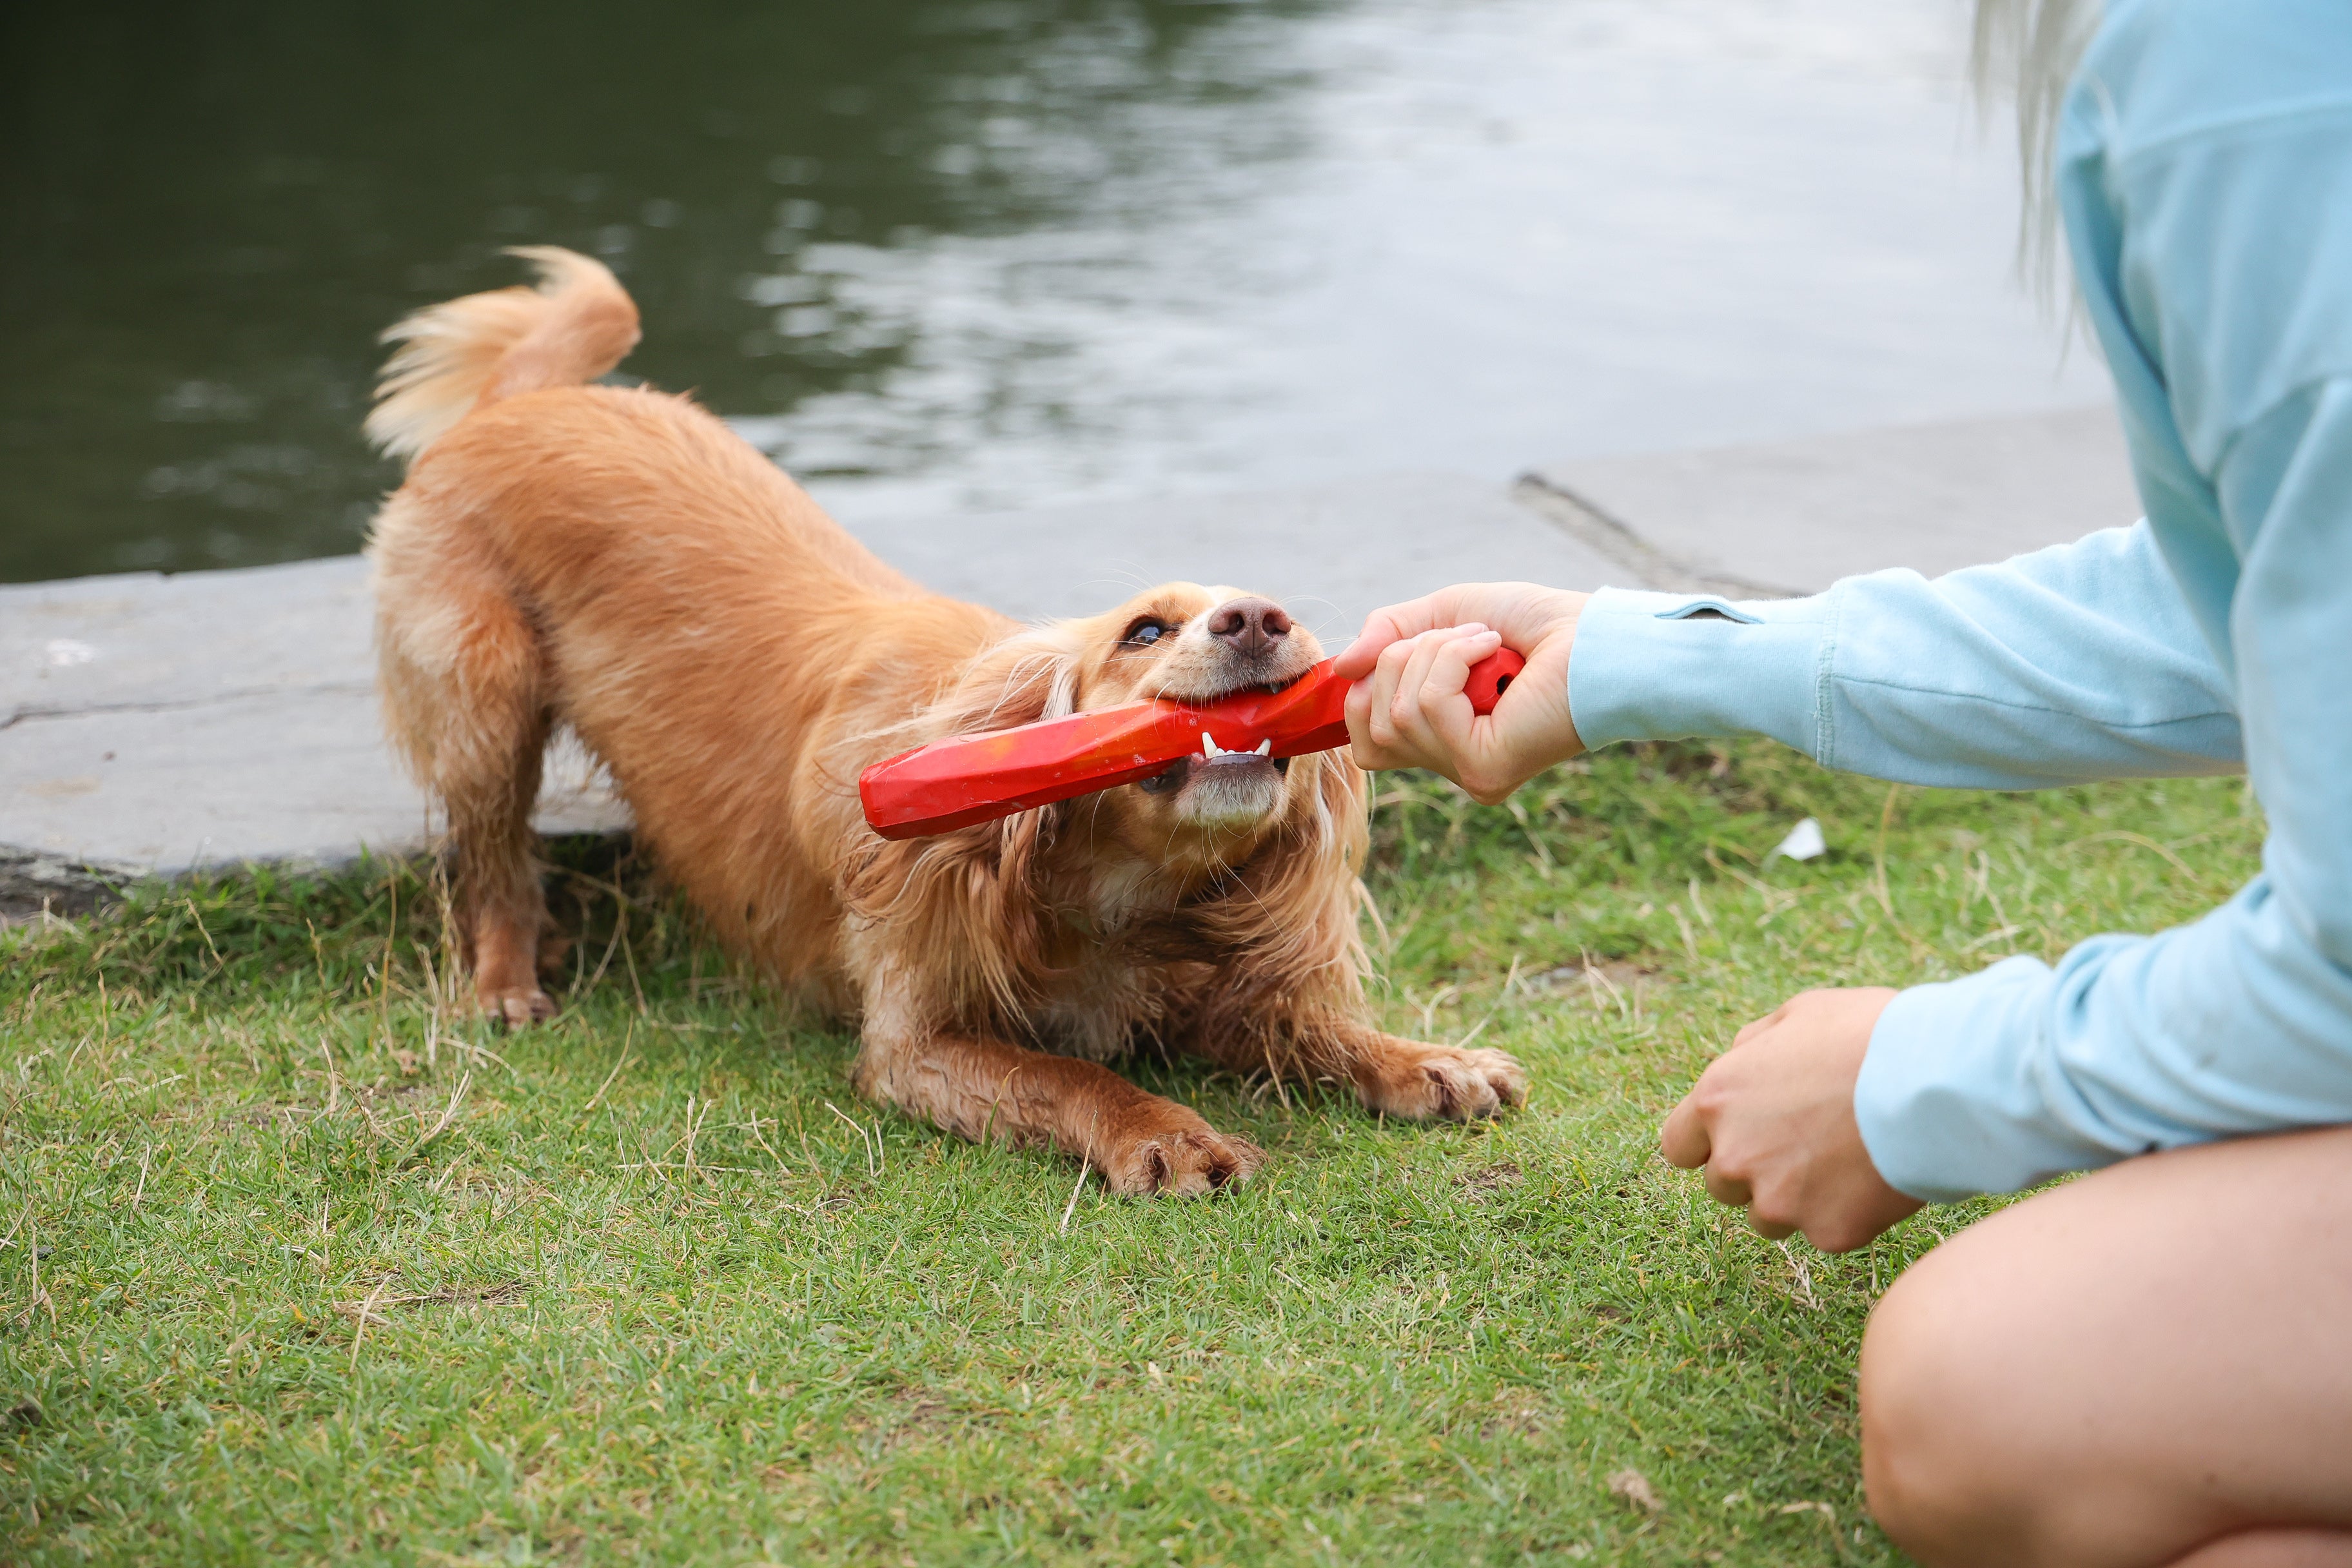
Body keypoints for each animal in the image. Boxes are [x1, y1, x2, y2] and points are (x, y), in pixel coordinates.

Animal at [357, 251, 1514, 1194]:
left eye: (1300, 636)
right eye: (1143, 630)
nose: (1258, 621)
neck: (1104, 893)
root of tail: (525, 399)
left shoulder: (1198, 988)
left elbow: (1305, 1022)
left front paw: (1424, 1059)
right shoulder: (914, 1041)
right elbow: (1068, 1074)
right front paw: (1165, 1133)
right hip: (484, 689)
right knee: (493, 857)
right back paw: (508, 984)